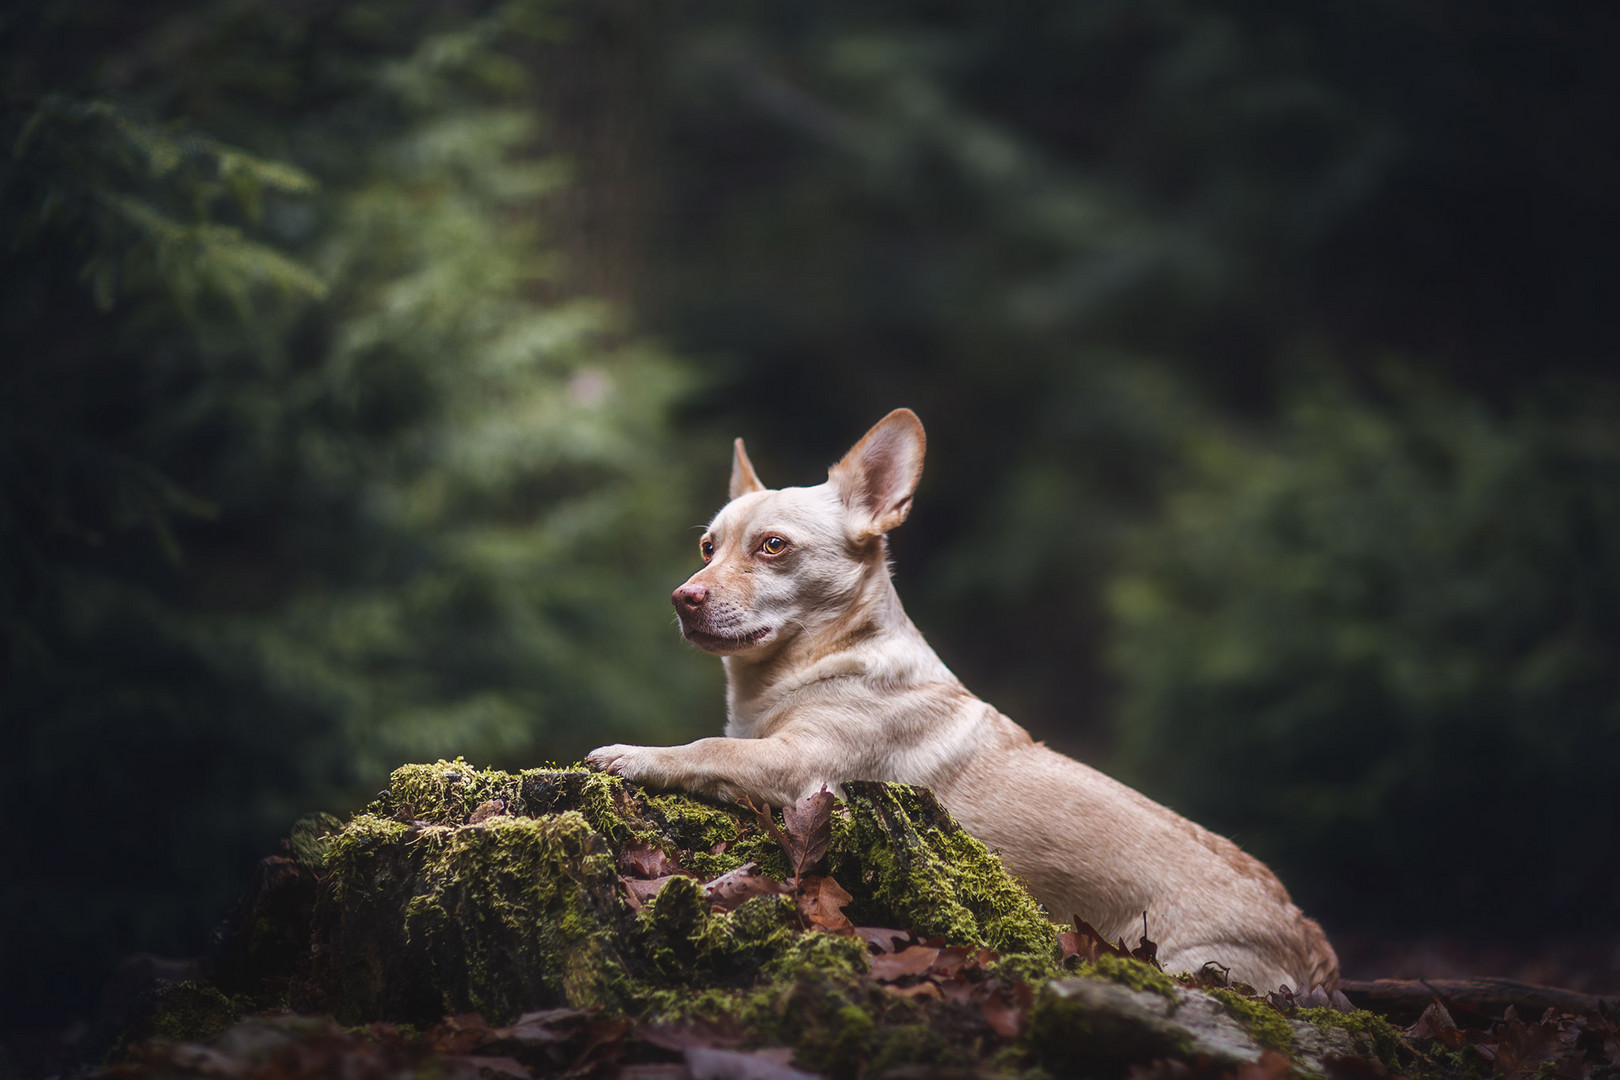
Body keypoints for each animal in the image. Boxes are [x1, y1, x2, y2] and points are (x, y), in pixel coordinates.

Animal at [589, 409, 1334, 990]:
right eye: (707, 548)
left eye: (773, 547)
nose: (683, 597)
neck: (806, 667)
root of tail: (1308, 935)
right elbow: (720, 741)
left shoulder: (799, 770)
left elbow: (708, 747)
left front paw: (633, 753)